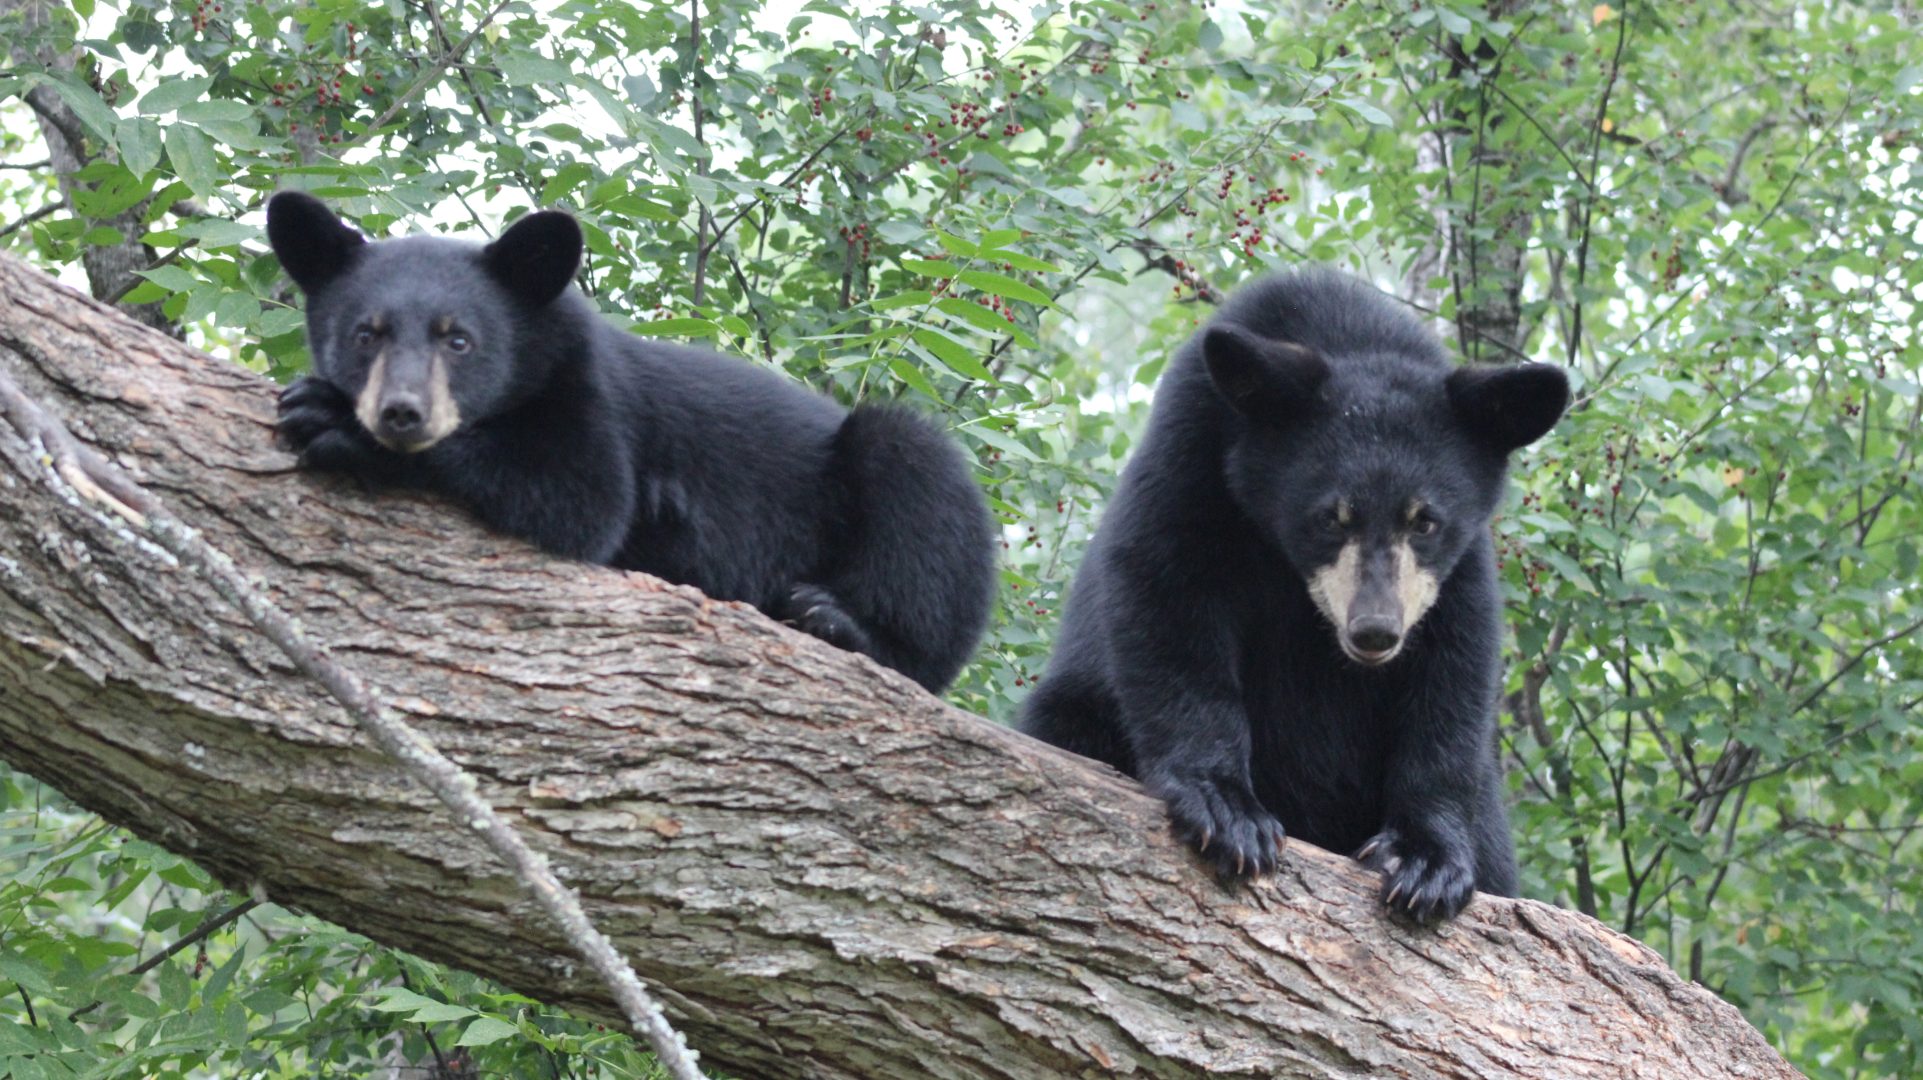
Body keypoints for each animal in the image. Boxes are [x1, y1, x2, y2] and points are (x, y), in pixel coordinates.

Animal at [266, 191, 995, 693]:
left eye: (459, 339)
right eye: (366, 333)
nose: (401, 413)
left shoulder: (594, 397)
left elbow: (581, 498)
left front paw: (332, 418)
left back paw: (837, 620)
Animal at [1019, 268, 1568, 922]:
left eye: (1425, 520)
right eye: (1331, 517)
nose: (1374, 631)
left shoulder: (1455, 569)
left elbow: (1455, 665)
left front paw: (1425, 859)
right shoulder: (1193, 452)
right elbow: (1164, 591)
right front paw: (1227, 810)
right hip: (1077, 707)